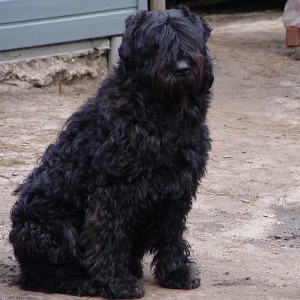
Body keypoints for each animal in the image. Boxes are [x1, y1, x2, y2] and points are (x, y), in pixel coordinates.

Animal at [8, 5, 213, 298]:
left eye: (189, 39)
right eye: (156, 43)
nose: (182, 69)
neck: (162, 116)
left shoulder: (179, 189)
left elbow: (171, 234)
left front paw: (176, 272)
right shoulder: (112, 191)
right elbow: (108, 238)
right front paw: (116, 282)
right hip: (48, 226)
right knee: (44, 274)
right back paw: (83, 282)